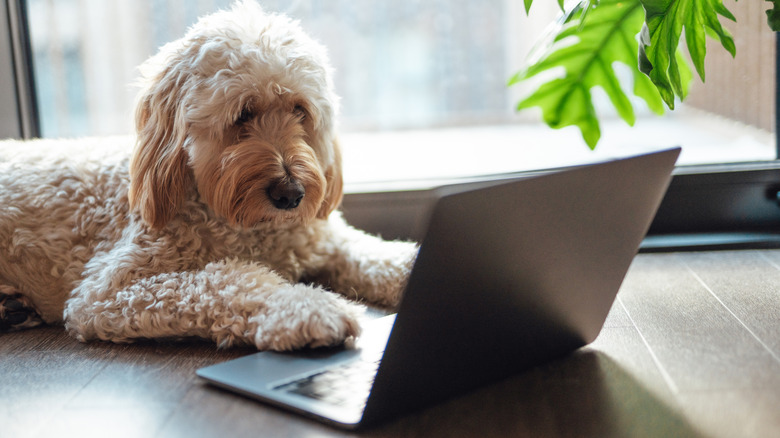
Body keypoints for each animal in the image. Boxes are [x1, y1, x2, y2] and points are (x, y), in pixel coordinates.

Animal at [0, 0, 420, 350]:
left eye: (300, 110)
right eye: (242, 115)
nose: (291, 194)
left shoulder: (324, 241)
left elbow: (376, 254)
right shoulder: (110, 292)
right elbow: (225, 281)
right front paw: (308, 307)